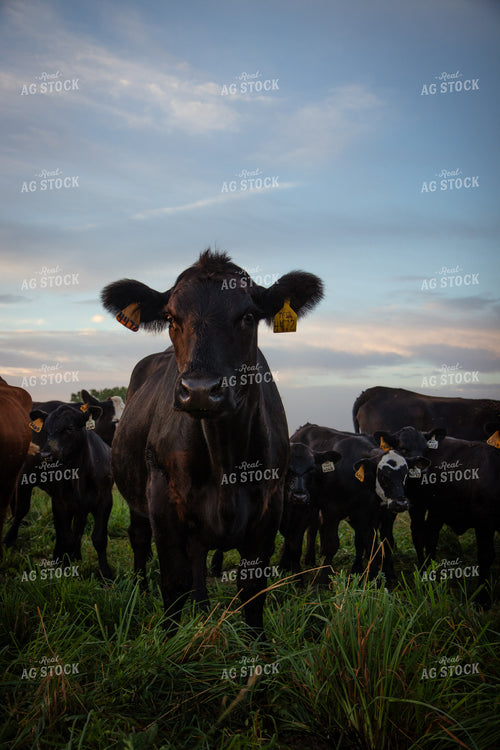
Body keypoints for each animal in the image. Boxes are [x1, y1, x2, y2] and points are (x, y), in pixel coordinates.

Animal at [27, 403, 113, 577]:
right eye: (46, 430)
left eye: (69, 428)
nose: (46, 453)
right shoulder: (60, 502)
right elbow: (66, 538)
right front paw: (64, 569)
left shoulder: (105, 500)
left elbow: (99, 538)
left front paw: (106, 573)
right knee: (64, 533)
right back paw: (60, 557)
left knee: (78, 528)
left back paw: (76, 555)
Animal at [101, 249, 323, 636]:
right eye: (171, 317)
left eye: (248, 316)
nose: (201, 390)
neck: (224, 459)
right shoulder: (163, 499)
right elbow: (174, 582)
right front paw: (169, 642)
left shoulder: (270, 505)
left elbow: (252, 587)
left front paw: (257, 644)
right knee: (140, 540)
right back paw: (140, 590)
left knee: (198, 559)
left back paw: (203, 607)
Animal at [285, 423, 430, 583]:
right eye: (383, 475)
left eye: (404, 474)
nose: (401, 503)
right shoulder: (331, 510)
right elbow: (333, 544)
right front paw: (324, 577)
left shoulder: (368, 513)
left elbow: (371, 541)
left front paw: (369, 573)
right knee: (313, 526)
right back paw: (308, 558)